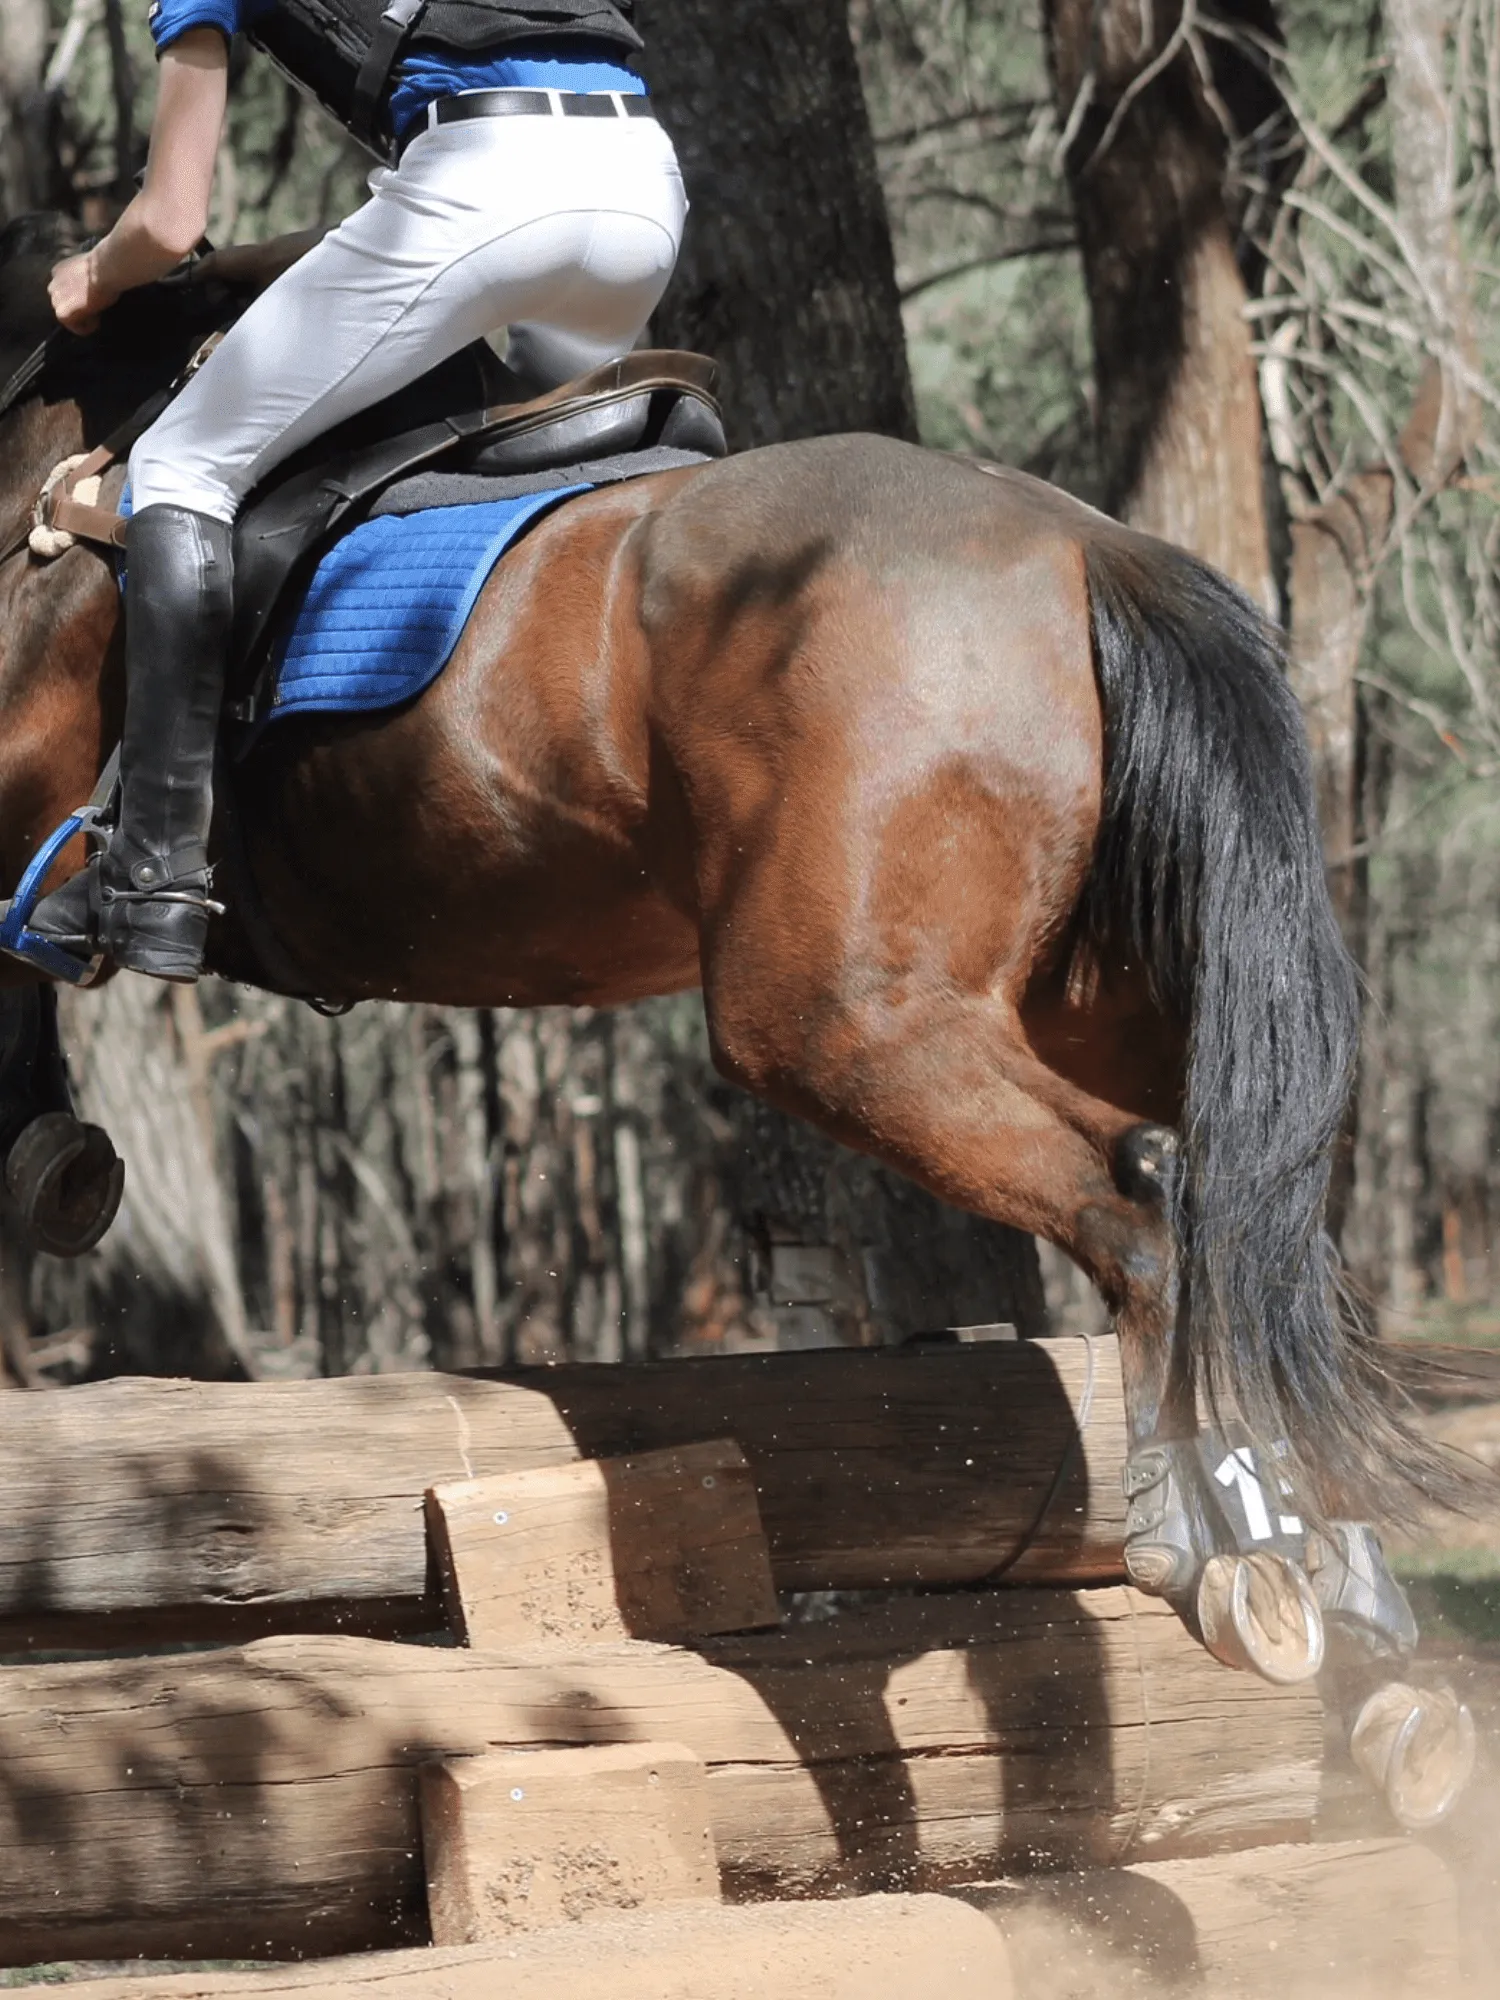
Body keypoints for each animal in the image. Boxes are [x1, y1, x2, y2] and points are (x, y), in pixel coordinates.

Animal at [0, 215, 1472, 1688]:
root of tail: (1086, 547)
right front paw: (54, 1166)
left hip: (834, 1022)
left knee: (1149, 1199)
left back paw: (1220, 1545)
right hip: (1076, 1008)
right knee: (1246, 1218)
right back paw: (1343, 1583)